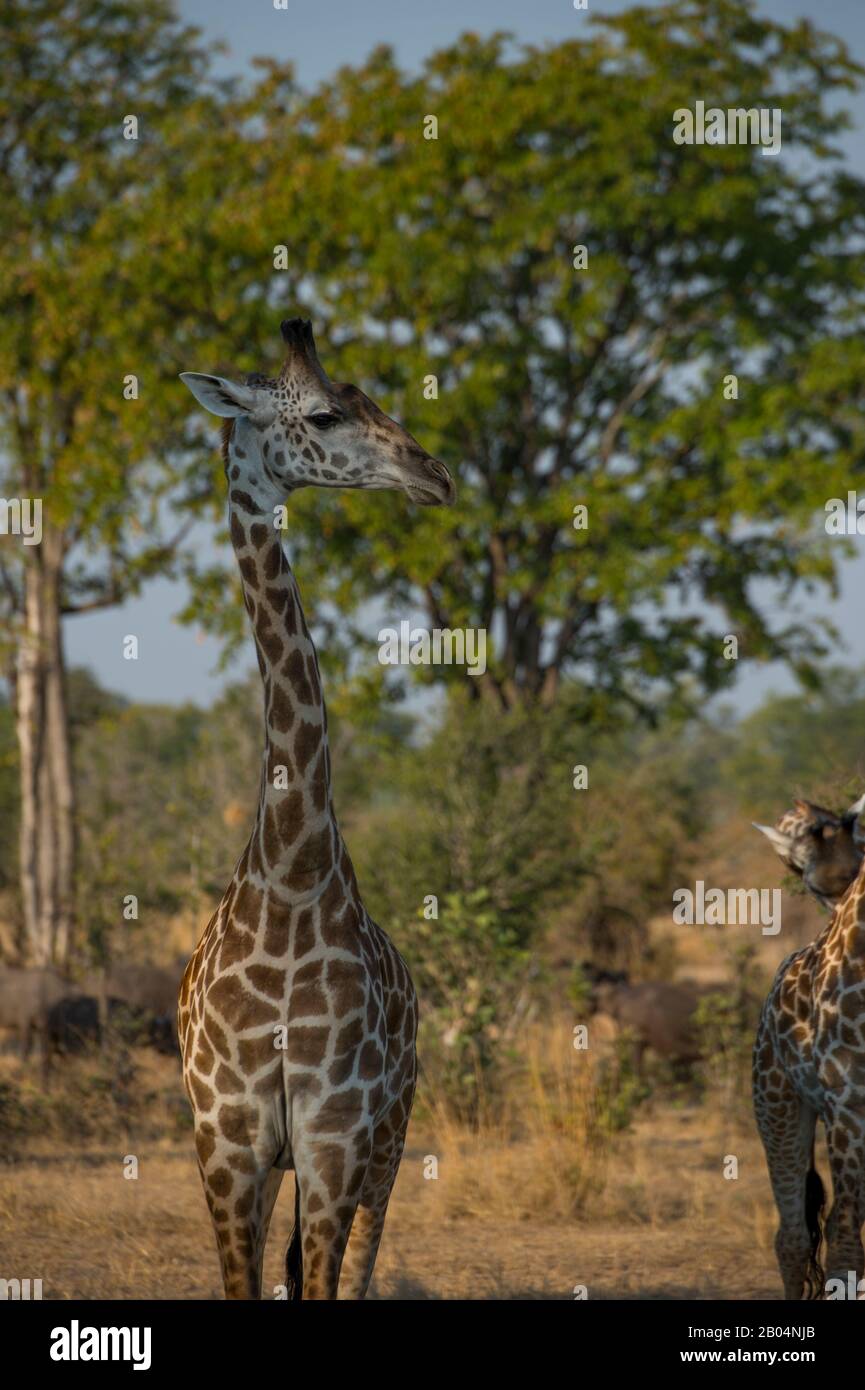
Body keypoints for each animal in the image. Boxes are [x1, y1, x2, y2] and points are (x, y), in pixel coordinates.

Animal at [177, 318, 455, 1300]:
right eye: (328, 413)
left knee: (358, 1270)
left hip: (391, 1140)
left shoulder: (336, 1139)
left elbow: (330, 1285)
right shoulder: (229, 1145)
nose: (434, 476)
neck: (292, 875)